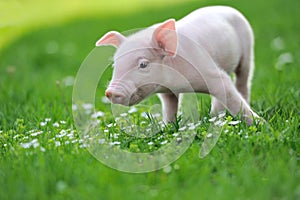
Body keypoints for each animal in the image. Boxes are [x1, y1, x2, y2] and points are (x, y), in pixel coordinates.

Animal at [96, 5, 260, 123]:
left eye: (143, 64)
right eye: (115, 65)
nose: (110, 92)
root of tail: (228, 8)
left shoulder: (209, 70)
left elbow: (231, 96)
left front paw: (260, 125)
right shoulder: (166, 92)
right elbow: (170, 108)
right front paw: (168, 127)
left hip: (248, 51)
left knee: (242, 81)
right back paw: (214, 116)